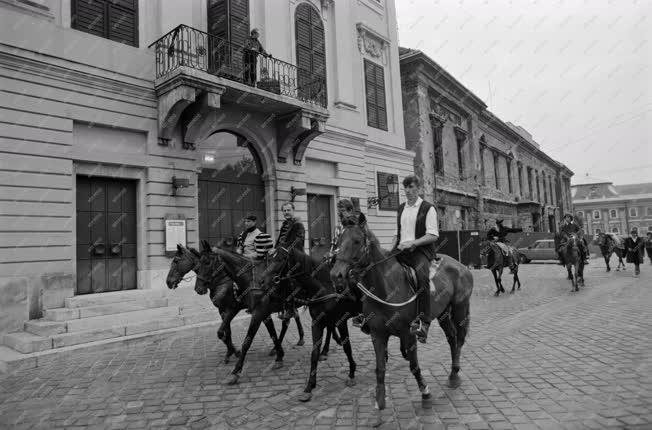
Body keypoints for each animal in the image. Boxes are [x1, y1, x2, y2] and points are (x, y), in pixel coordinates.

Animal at [164, 245, 304, 362]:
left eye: (176, 261)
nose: (168, 282)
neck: (221, 280)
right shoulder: (223, 310)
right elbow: (225, 332)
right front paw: (231, 351)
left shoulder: (233, 308)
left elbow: (224, 331)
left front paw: (234, 351)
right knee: (292, 317)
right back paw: (296, 340)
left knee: (290, 319)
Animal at [262, 245, 360, 404]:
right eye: (268, 259)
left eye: (281, 259)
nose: (262, 281)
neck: (325, 288)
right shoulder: (317, 323)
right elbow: (314, 354)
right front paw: (309, 387)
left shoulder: (341, 321)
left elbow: (347, 348)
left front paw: (351, 372)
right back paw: (325, 351)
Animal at [332, 217, 474, 418]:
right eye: (338, 241)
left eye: (357, 241)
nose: (336, 274)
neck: (385, 287)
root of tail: (461, 266)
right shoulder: (378, 334)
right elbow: (380, 369)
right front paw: (379, 401)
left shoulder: (408, 334)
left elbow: (414, 365)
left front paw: (425, 393)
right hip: (443, 314)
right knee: (452, 338)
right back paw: (453, 375)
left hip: (460, 309)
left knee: (459, 339)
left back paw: (454, 374)